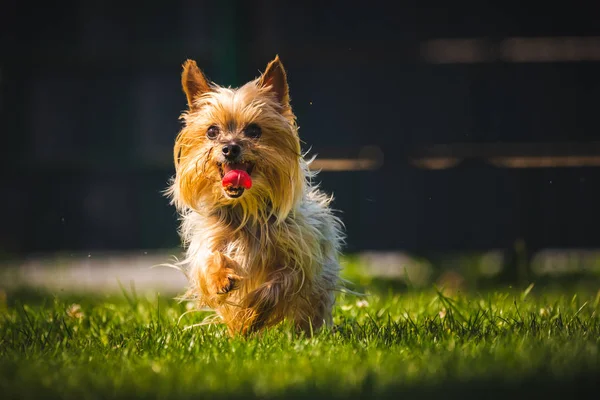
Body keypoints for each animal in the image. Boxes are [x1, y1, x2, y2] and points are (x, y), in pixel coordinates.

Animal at [169, 55, 344, 334]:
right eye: (212, 131)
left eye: (253, 131)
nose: (230, 148)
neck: (245, 209)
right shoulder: (210, 240)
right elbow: (209, 260)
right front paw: (221, 278)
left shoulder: (298, 263)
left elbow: (275, 288)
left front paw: (249, 314)